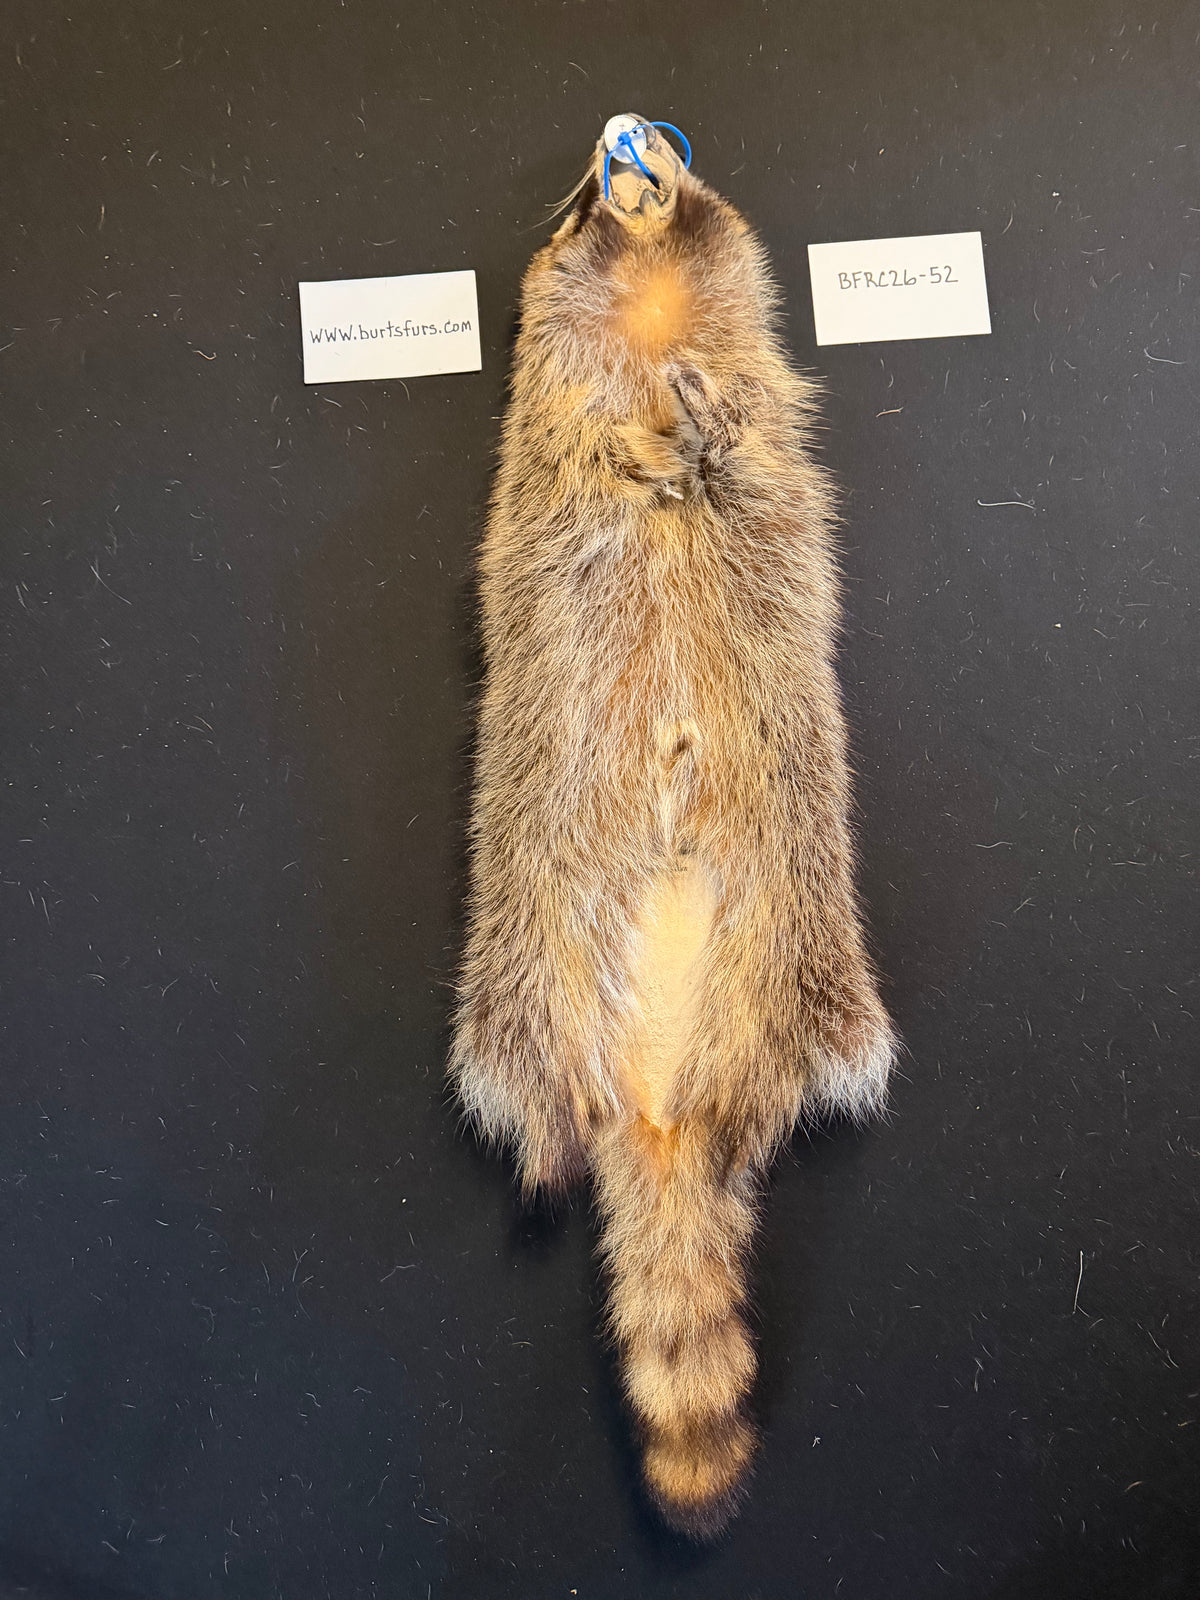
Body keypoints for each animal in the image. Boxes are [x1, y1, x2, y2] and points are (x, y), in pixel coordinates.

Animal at [451, 115, 897, 1536]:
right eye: (587, 192)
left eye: (675, 151)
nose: (624, 131)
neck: (650, 313)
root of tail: (655, 1102)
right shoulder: (549, 424)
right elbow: (581, 454)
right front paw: (643, 452)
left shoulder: (761, 401)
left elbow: (753, 448)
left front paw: (703, 440)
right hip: (526, 957)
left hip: (798, 932)